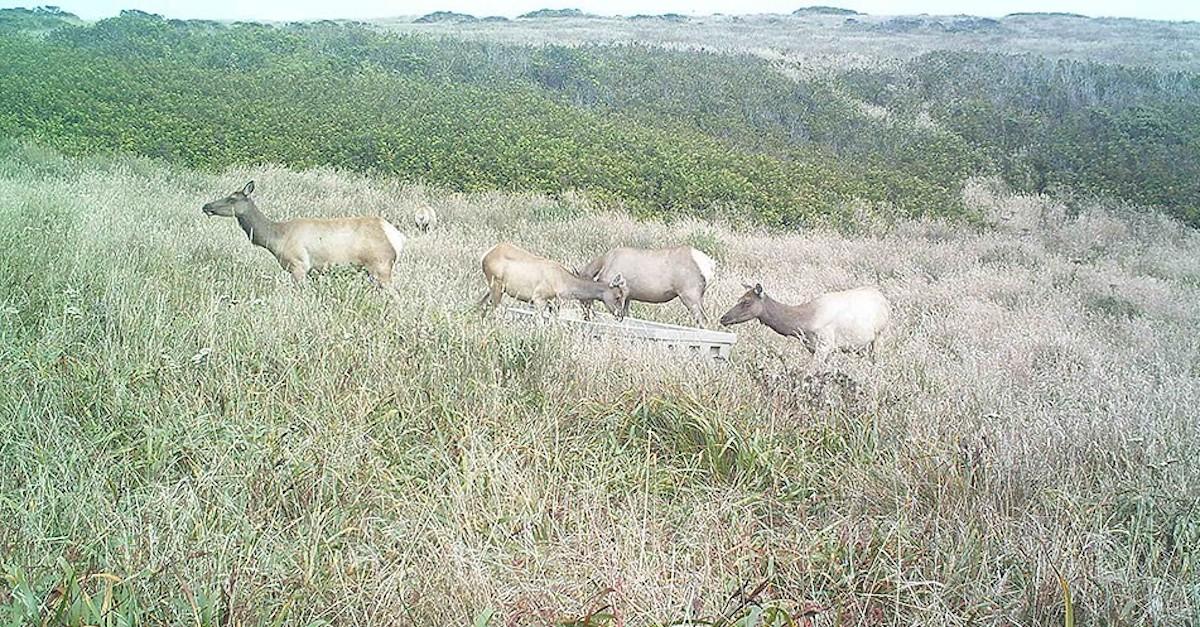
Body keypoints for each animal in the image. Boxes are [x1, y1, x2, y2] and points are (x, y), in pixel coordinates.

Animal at [202, 178, 408, 289]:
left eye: (231, 198)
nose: (206, 206)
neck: (276, 238)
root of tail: (397, 237)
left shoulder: (298, 265)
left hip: (381, 266)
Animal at [477, 240, 628, 317]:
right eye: (618, 296)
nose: (620, 315)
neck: (563, 283)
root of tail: (485, 255)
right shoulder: (538, 299)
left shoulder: (553, 303)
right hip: (496, 284)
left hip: (494, 287)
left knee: (481, 304)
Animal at [578, 243, 715, 324]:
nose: (586, 316)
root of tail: (709, 266)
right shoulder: (628, 297)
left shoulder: (621, 294)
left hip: (689, 295)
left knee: (703, 320)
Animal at [715, 282, 888, 365]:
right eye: (739, 299)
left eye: (746, 301)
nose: (723, 318)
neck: (803, 324)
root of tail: (884, 299)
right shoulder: (816, 348)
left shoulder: (824, 345)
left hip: (879, 337)